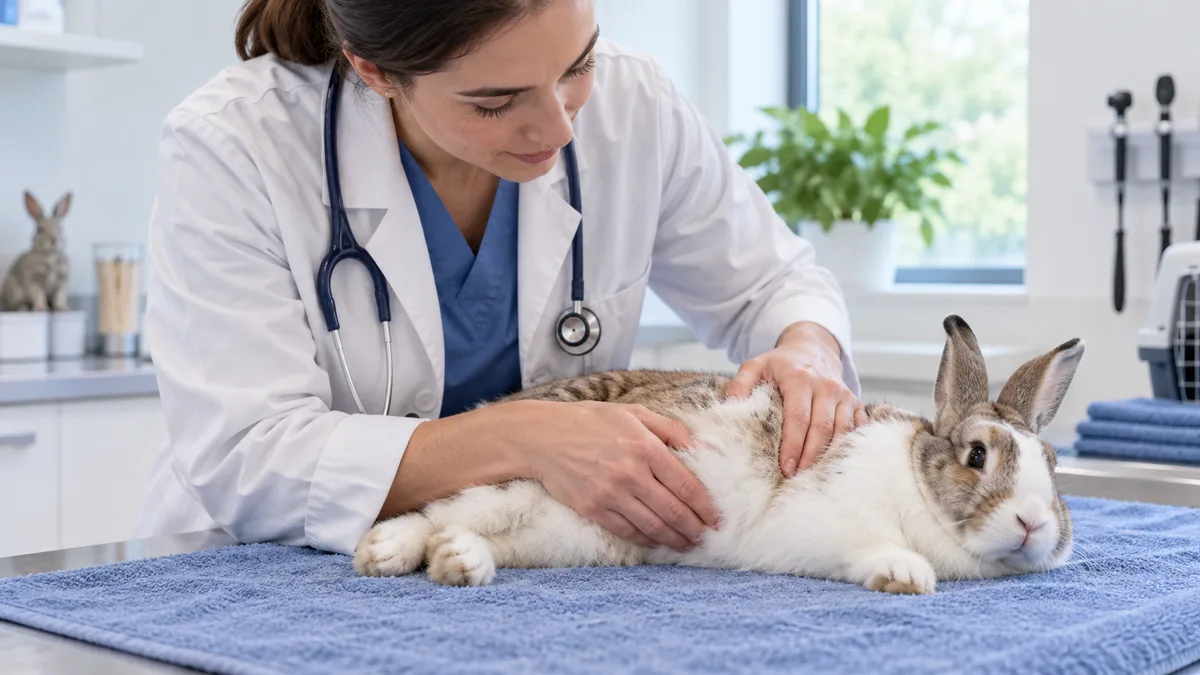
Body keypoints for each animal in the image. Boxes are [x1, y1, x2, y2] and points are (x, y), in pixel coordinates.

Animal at [353, 314, 1084, 595]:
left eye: (1053, 466)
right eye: (977, 456)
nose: (1032, 524)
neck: (918, 488)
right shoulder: (831, 526)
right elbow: (870, 546)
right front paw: (906, 575)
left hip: (579, 534)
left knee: (476, 533)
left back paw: (458, 561)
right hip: (526, 481)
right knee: (435, 511)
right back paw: (387, 552)